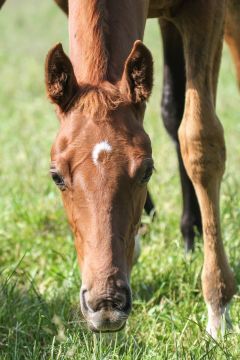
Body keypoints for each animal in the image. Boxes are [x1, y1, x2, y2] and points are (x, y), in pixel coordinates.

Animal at [45, 0, 236, 338]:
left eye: (147, 171)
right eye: (56, 177)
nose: (106, 304)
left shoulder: (207, 11)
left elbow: (200, 139)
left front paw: (218, 307)